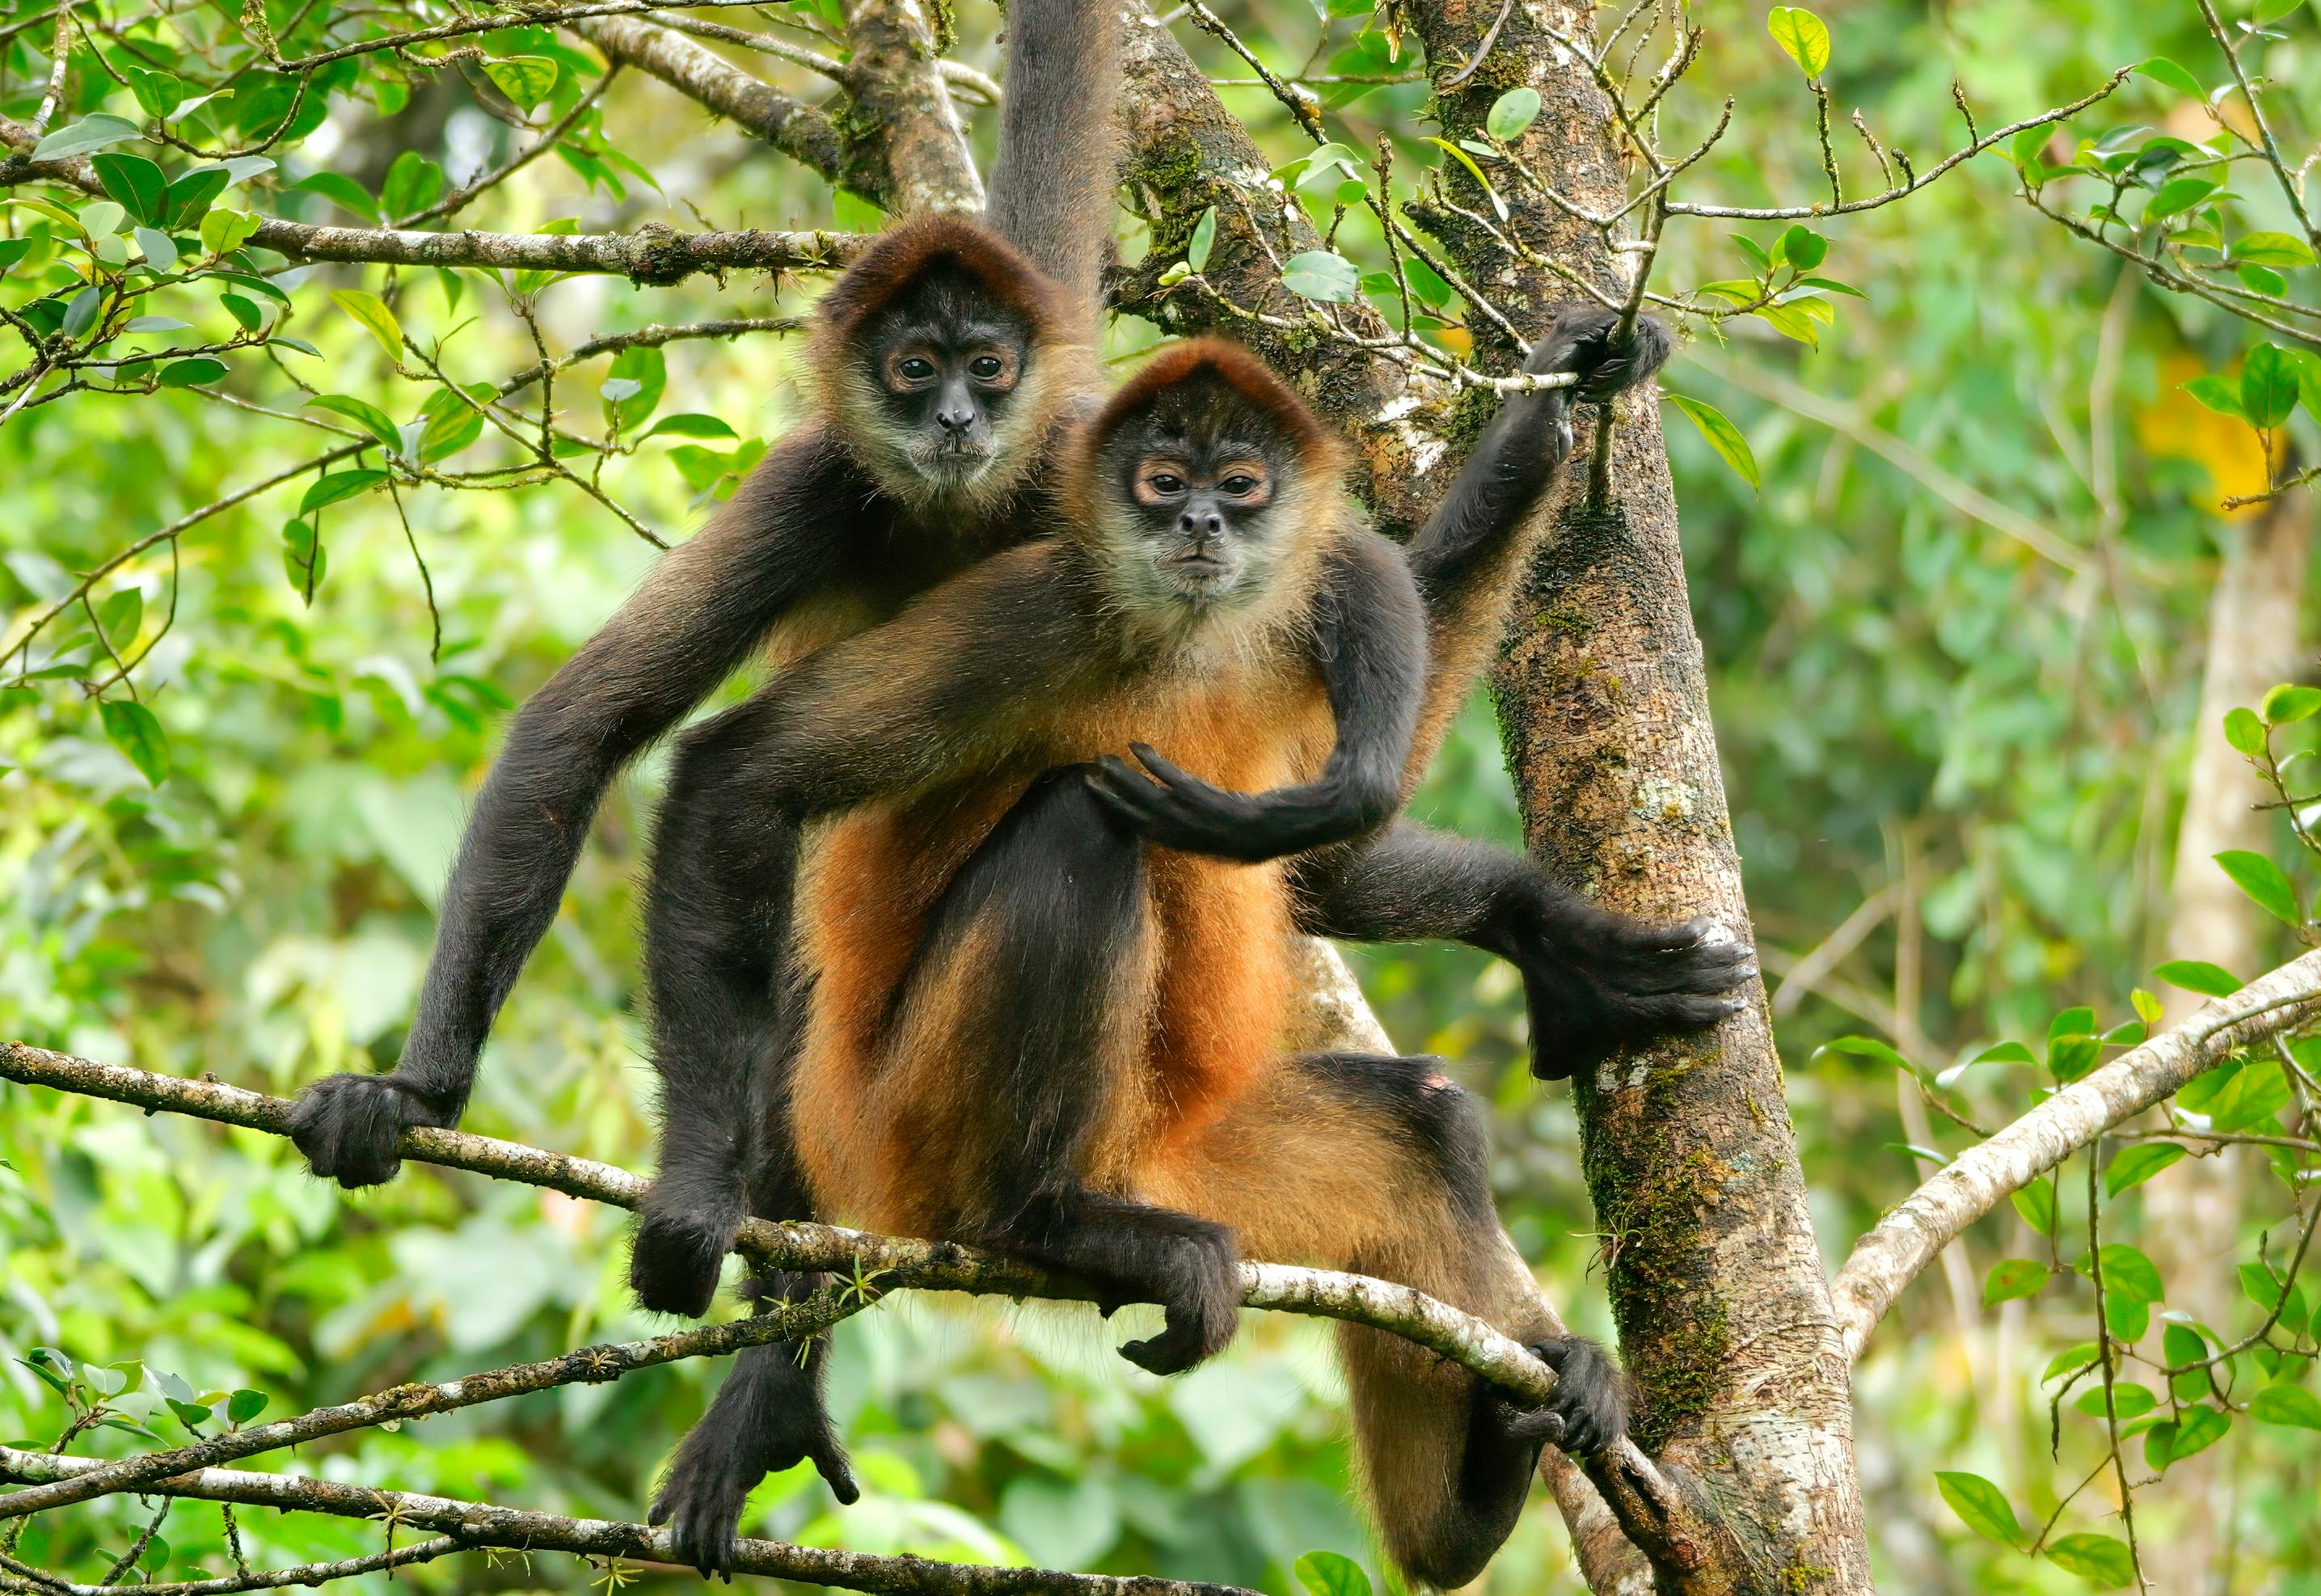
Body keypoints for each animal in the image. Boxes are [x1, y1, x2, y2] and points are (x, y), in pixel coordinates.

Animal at [637, 338, 1635, 1587]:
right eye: (1163, 483)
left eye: (1239, 487)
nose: (1200, 522)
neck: (1189, 637)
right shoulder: (1035, 609)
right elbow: (737, 772)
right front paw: (693, 1197)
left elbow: (1330, 865)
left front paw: (1547, 413)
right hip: (917, 1112)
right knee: (1081, 821)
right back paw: (1037, 1219)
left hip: (1187, 1155)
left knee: (1427, 1123)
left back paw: (1477, 1494)